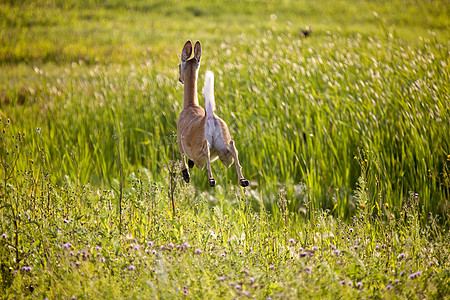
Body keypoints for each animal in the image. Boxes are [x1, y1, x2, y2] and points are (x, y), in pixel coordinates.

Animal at [178, 40, 250, 188]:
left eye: (179, 66)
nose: (179, 79)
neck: (190, 105)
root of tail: (210, 116)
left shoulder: (179, 139)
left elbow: (181, 157)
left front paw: (186, 175)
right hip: (224, 151)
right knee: (232, 148)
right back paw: (243, 180)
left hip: (199, 153)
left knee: (204, 151)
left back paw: (211, 179)